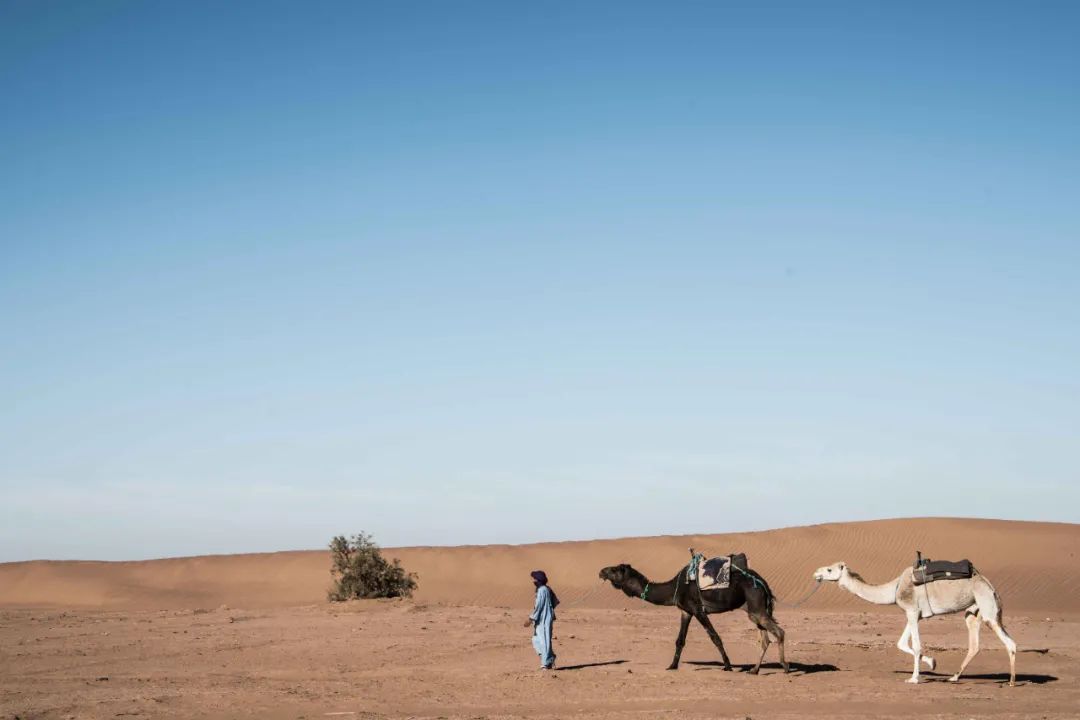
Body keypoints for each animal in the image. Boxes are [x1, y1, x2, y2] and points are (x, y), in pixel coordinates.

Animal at [600, 561, 786, 673]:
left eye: (615, 570)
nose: (601, 571)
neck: (674, 588)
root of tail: (762, 582)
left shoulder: (698, 610)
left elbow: (715, 637)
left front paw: (727, 666)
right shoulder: (686, 611)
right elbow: (680, 640)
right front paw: (672, 666)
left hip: (756, 605)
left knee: (779, 632)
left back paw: (785, 667)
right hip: (753, 610)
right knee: (765, 638)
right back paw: (754, 670)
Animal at [812, 561, 1015, 686]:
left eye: (829, 570)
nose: (816, 573)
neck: (894, 588)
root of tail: (991, 587)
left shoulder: (911, 610)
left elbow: (916, 646)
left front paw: (914, 678)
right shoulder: (914, 614)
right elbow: (901, 643)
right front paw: (932, 662)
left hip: (988, 608)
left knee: (1010, 643)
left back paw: (1012, 681)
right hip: (973, 611)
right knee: (975, 645)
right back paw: (954, 677)